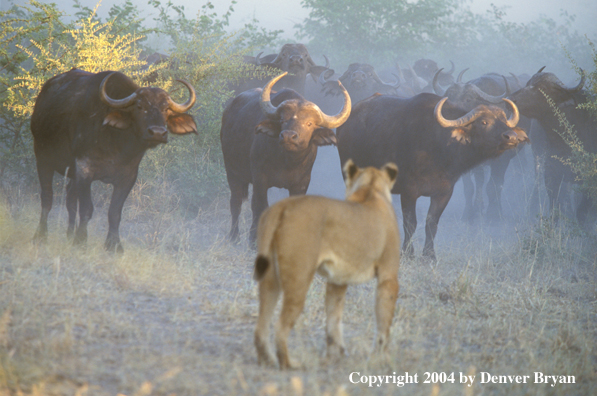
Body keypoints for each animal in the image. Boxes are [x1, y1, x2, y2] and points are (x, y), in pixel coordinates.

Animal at [30, 69, 196, 252]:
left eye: (166, 109)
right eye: (140, 107)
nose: (158, 133)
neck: (117, 144)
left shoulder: (128, 177)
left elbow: (114, 212)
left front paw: (114, 246)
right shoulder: (84, 169)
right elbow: (86, 209)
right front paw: (80, 241)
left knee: (70, 200)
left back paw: (69, 235)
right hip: (43, 158)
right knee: (47, 198)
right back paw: (40, 235)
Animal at [221, 72, 352, 243]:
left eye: (309, 123)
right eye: (283, 120)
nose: (288, 136)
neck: (286, 162)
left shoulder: (301, 183)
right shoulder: (259, 179)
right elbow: (260, 206)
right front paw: (254, 241)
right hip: (232, 171)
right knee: (236, 202)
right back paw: (234, 236)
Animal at [336, 92, 528, 260]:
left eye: (504, 120)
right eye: (484, 122)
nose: (512, 136)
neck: (438, 149)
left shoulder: (444, 193)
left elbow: (432, 223)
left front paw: (429, 256)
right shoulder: (409, 192)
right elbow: (410, 224)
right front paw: (407, 254)